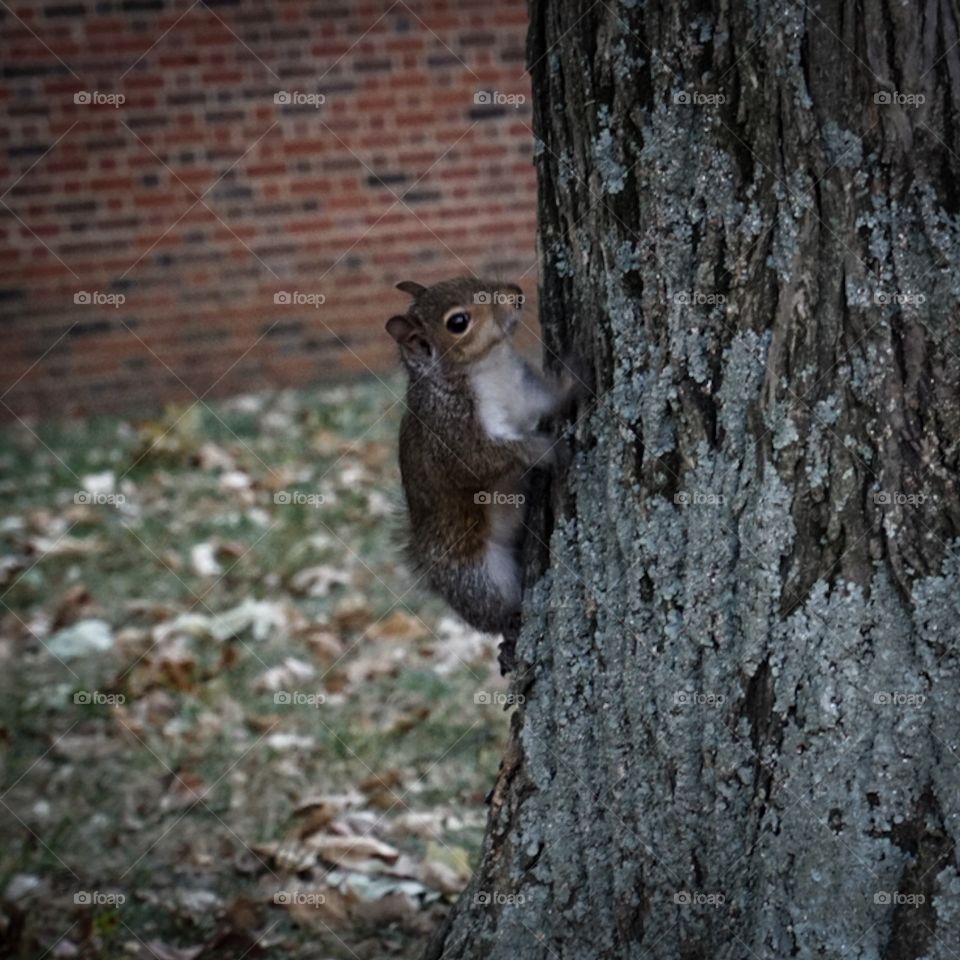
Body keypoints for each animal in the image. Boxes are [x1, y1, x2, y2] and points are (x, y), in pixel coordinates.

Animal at [386, 276, 578, 670]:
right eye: (458, 322)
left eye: (467, 279)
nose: (515, 294)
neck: (488, 367)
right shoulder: (454, 437)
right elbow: (493, 458)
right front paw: (549, 451)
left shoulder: (525, 393)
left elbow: (551, 397)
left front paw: (576, 368)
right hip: (479, 577)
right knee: (492, 613)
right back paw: (511, 627)